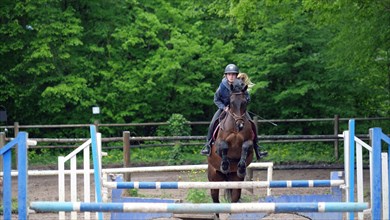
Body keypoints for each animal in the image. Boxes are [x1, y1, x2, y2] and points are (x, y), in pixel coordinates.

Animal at [206, 78, 254, 207]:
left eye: (245, 102)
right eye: (231, 102)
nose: (240, 125)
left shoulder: (249, 144)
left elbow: (246, 146)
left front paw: (241, 167)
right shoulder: (218, 145)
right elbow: (223, 147)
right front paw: (224, 165)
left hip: (235, 181)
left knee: (234, 199)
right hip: (214, 180)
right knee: (215, 200)